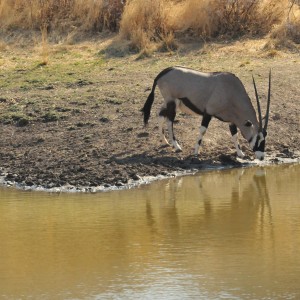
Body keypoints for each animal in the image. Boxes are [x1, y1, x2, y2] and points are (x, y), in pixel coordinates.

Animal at [142, 67, 270, 161]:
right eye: (258, 138)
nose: (261, 157)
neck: (231, 91)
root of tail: (163, 72)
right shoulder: (208, 113)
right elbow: (202, 131)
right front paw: (195, 152)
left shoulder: (231, 120)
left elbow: (234, 135)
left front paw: (240, 153)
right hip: (172, 102)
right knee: (169, 121)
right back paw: (177, 146)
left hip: (170, 103)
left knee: (160, 115)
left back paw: (165, 141)